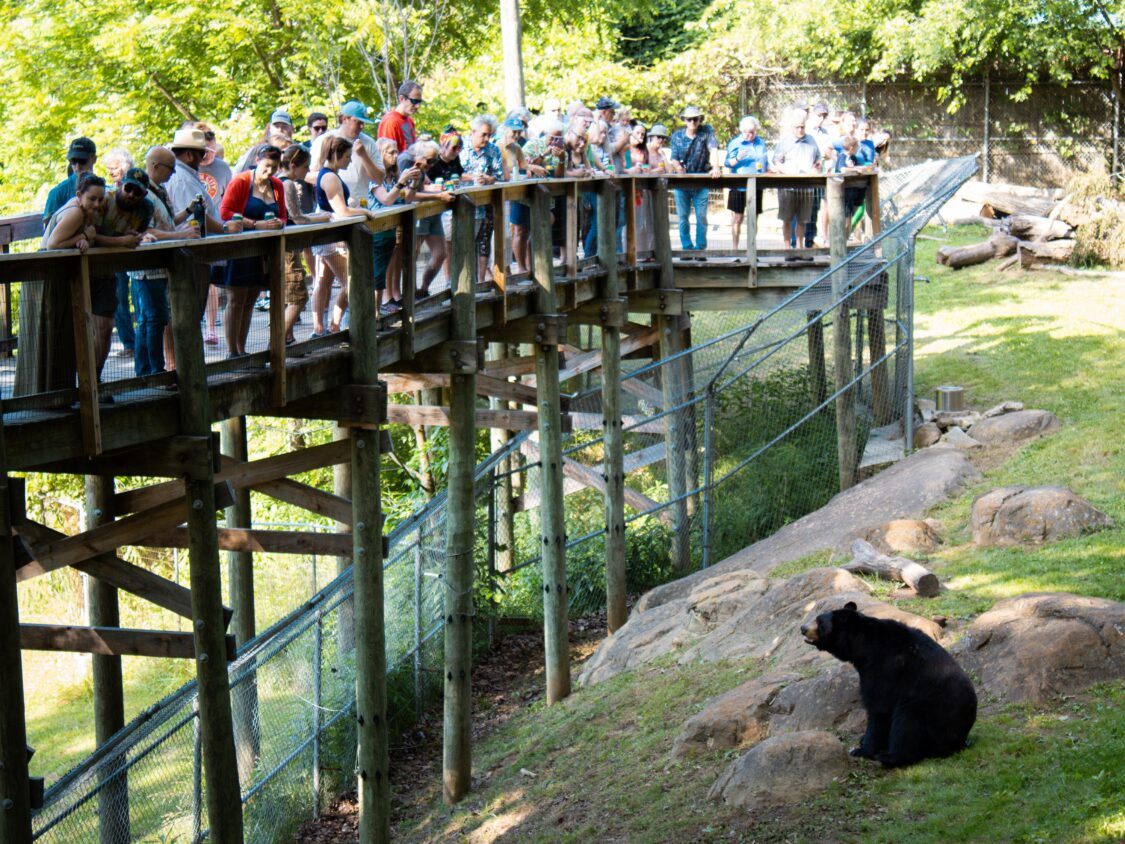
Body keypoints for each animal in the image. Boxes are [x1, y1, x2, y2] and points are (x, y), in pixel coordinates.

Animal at [800, 601, 977, 768]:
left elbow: (879, 707)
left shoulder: (884, 667)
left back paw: (889, 757)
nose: (802, 628)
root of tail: (961, 739)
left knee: (907, 724)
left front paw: (862, 750)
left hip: (928, 708)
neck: (862, 646)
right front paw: (863, 741)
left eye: (819, 621)